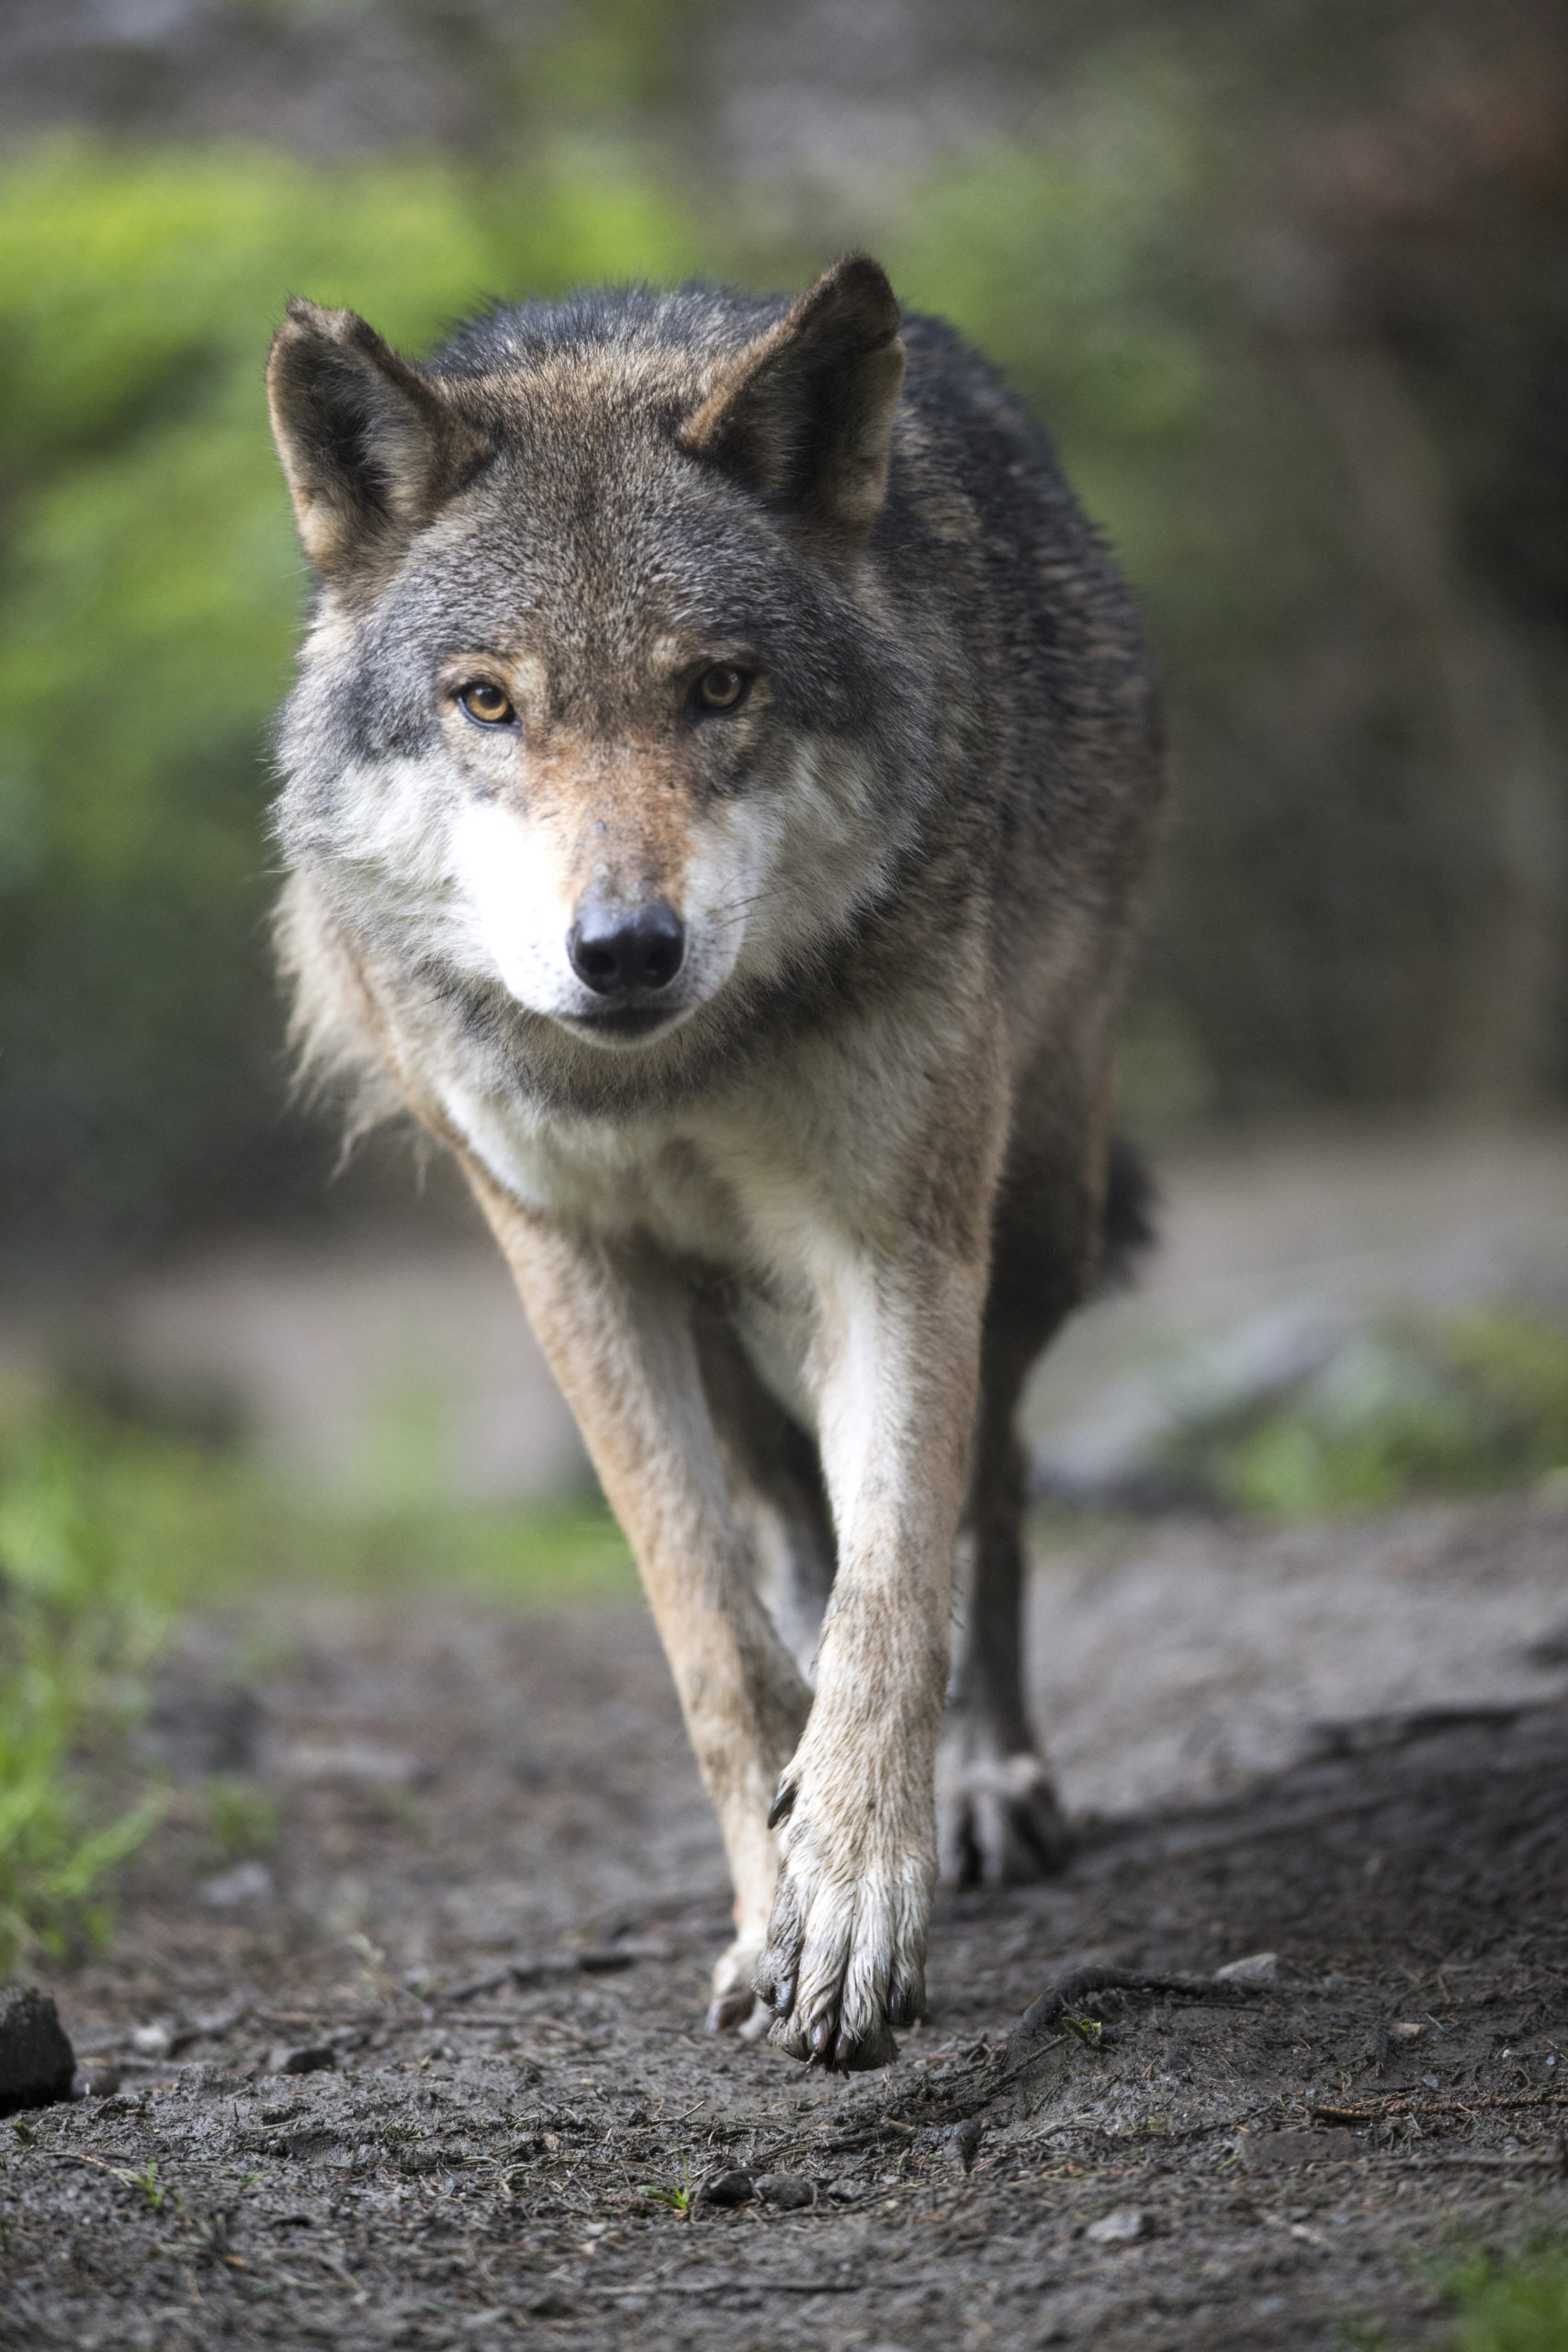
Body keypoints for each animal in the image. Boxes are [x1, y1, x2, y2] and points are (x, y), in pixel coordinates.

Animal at [265, 255, 1162, 2071]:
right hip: (706, 1303)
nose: (622, 949)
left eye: (719, 687)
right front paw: (771, 1911)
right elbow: (718, 1644)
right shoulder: (567, 1262)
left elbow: (892, 1601)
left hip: (1031, 1225)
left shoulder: (899, 1244)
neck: (670, 1074)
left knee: (987, 1495)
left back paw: (987, 1781)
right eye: (487, 701)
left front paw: (856, 1903)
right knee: (779, 1515)